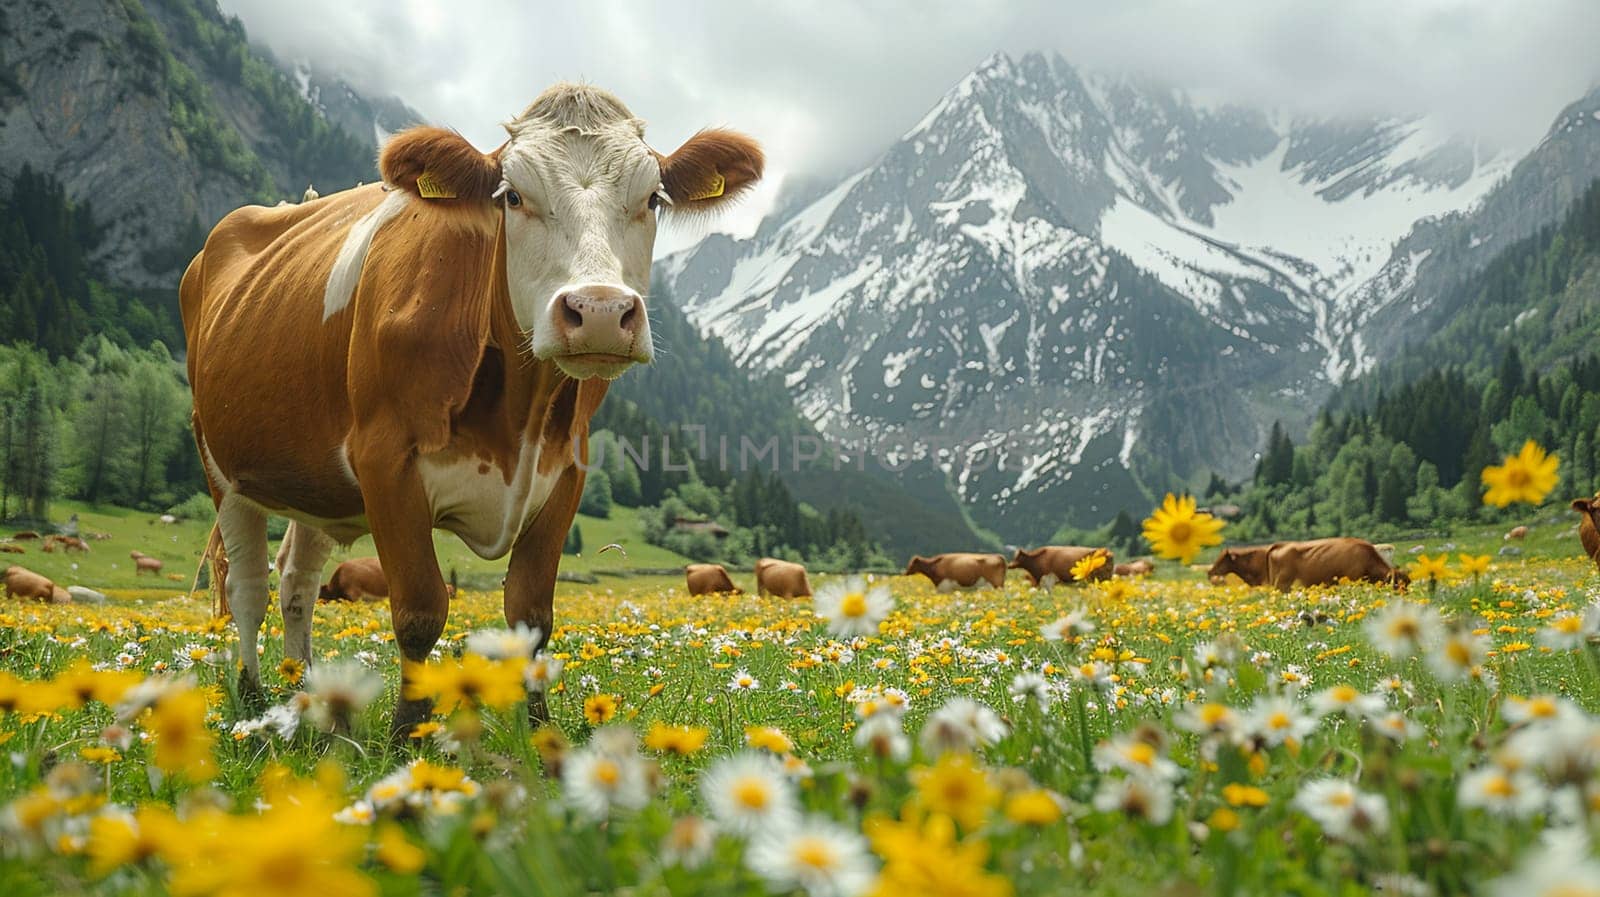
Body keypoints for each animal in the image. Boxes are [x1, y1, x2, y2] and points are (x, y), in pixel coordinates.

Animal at [184, 82, 758, 735]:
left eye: (654, 199)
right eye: (512, 196)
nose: (601, 311)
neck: (519, 415)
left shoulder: (566, 472)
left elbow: (532, 612)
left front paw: (538, 729)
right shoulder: (385, 461)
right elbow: (419, 610)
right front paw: (408, 735)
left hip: (314, 484)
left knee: (296, 583)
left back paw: (307, 696)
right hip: (221, 464)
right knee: (248, 587)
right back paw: (254, 696)